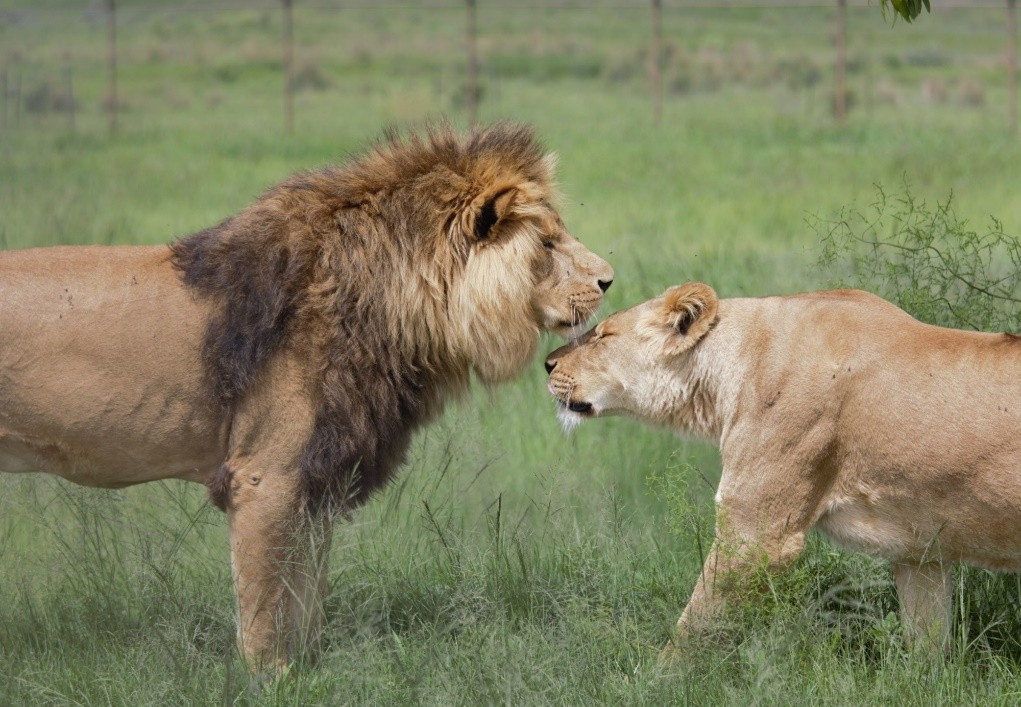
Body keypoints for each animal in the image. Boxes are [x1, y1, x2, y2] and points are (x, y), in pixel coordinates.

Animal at [0, 124, 612, 670]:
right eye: (548, 243)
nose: (609, 279)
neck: (387, 300)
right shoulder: (263, 476)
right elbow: (265, 608)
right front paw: (271, 680)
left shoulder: (317, 477)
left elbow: (306, 600)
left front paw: (310, 670)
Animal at [547, 284, 1021, 657]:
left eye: (603, 335)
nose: (547, 363)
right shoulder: (919, 548)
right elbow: (927, 644)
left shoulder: (757, 535)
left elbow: (693, 627)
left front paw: (656, 683)